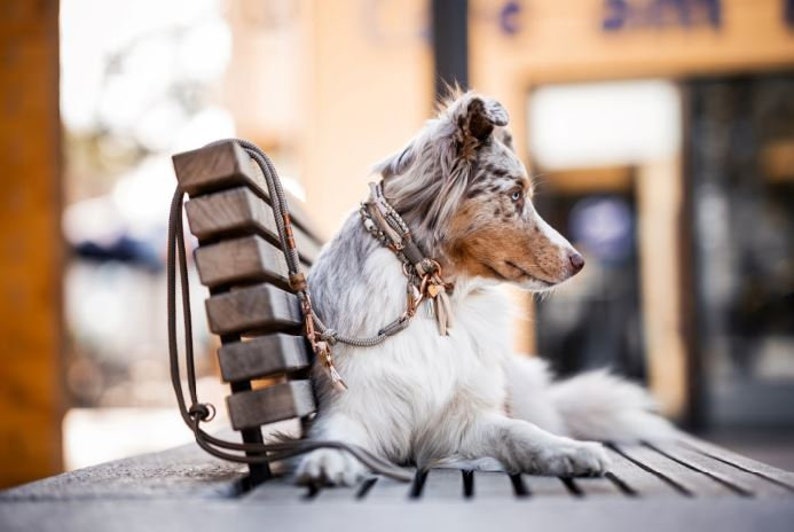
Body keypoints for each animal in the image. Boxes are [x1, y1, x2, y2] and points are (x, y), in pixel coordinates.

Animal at [294, 91, 672, 486]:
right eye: (516, 194)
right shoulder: (356, 406)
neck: (433, 294)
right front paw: (324, 461)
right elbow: (336, 437)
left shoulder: (463, 422)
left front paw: (571, 451)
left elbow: (521, 432)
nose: (579, 261)